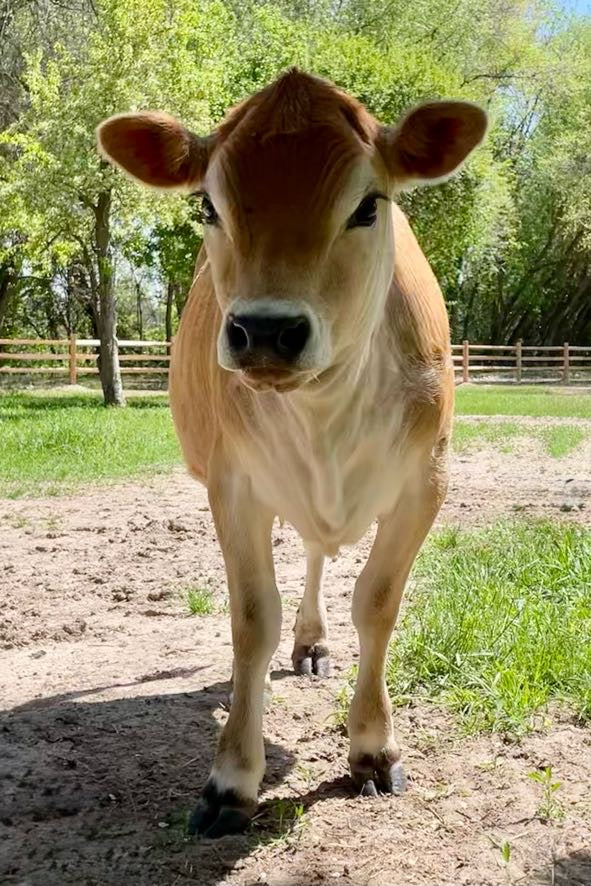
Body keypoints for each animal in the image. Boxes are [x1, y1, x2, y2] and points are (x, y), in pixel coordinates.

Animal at [97, 69, 486, 838]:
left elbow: (377, 603)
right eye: (208, 206)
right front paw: (231, 781)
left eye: (367, 206)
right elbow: (253, 621)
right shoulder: (232, 486)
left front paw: (372, 748)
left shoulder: (425, 483)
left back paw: (314, 644)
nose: (266, 330)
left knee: (315, 554)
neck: (326, 411)